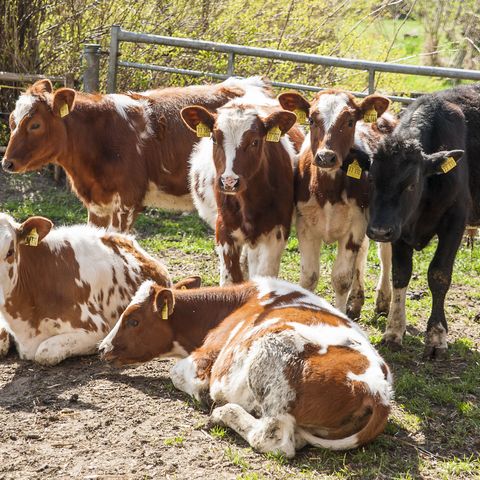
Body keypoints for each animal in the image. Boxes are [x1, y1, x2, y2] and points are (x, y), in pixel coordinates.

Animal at [99, 276, 392, 456]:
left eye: (133, 320)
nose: (102, 348)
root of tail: (377, 392)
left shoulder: (207, 355)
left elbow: (177, 374)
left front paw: (202, 395)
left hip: (273, 360)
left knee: (273, 440)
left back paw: (224, 413)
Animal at [180, 97, 304, 284]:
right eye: (214, 139)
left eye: (255, 142)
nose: (229, 181)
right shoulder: (224, 230)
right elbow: (231, 279)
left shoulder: (277, 232)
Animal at [278, 91, 398, 318]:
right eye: (311, 120)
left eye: (350, 121)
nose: (326, 157)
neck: (327, 192)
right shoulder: (306, 227)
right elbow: (309, 277)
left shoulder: (354, 228)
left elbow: (341, 279)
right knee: (363, 253)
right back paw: (356, 300)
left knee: (385, 254)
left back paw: (383, 300)